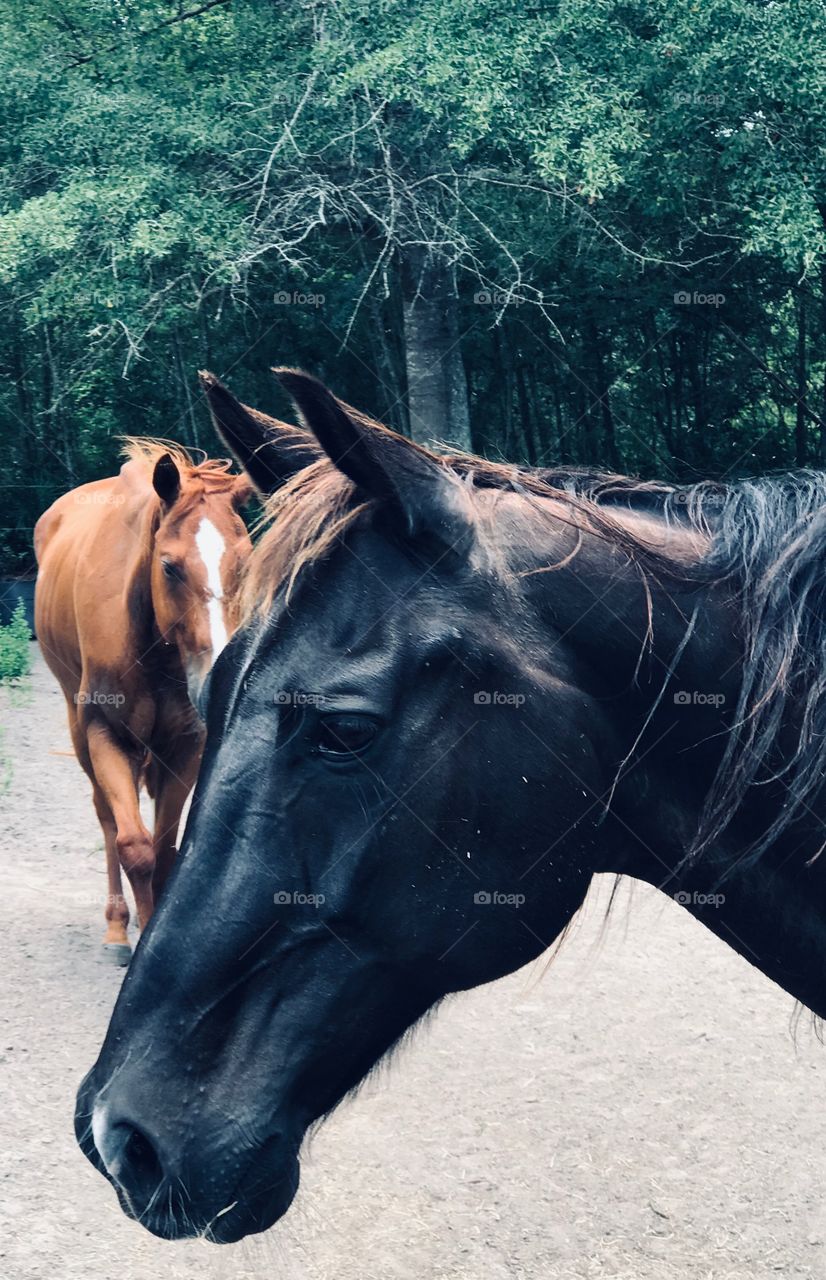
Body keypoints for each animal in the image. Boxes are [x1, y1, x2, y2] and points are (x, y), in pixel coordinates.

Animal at [35, 440, 252, 962]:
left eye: (246, 561)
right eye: (170, 566)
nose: (219, 681)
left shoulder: (186, 746)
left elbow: (165, 850)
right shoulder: (106, 736)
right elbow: (135, 845)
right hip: (80, 730)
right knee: (106, 817)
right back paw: (117, 925)